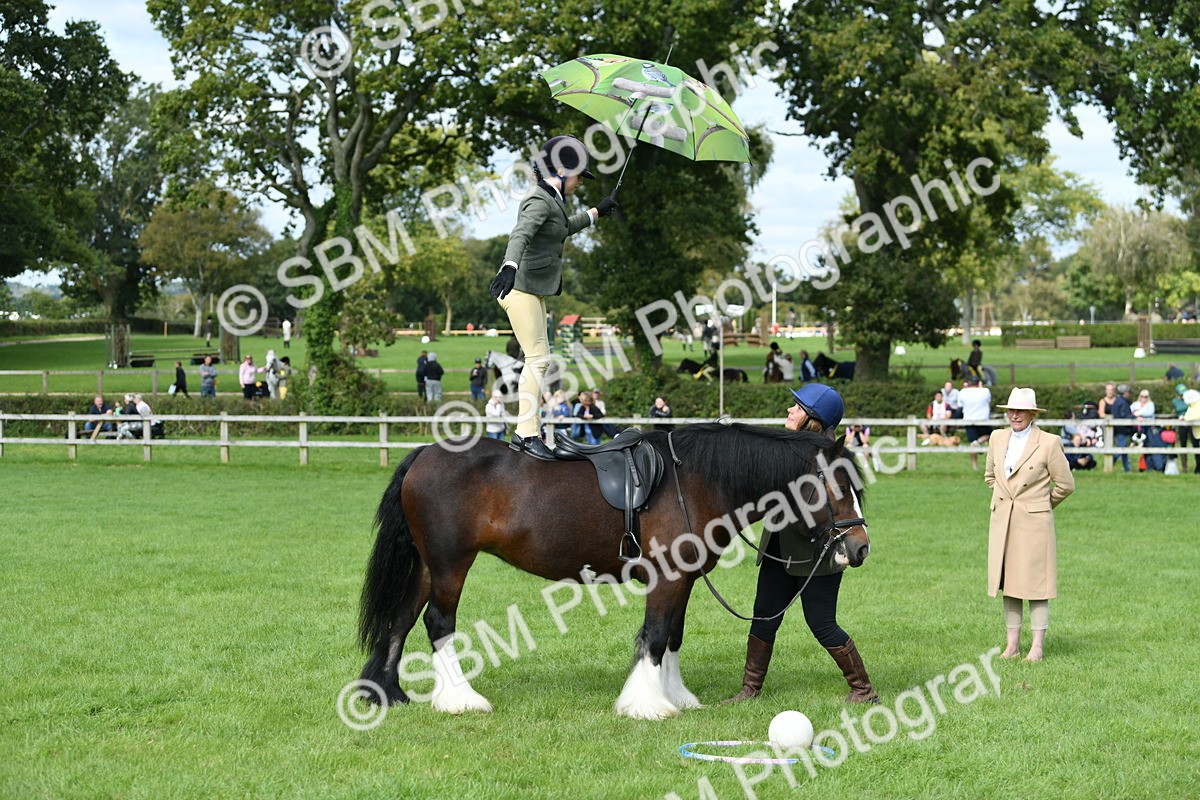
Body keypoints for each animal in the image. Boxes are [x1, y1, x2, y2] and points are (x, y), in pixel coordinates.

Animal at [357, 424, 871, 720]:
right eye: (837, 486)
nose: (860, 548)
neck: (695, 480)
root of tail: (424, 453)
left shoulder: (683, 579)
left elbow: (673, 636)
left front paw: (675, 696)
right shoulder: (666, 578)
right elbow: (656, 636)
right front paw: (645, 704)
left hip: (427, 566)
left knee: (400, 620)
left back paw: (388, 693)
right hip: (450, 565)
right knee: (438, 622)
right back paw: (461, 700)